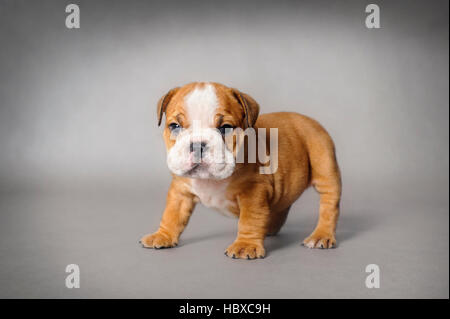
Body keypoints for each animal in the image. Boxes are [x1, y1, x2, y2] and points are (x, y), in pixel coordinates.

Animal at [141, 82, 342, 260]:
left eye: (225, 128)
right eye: (175, 126)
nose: (197, 145)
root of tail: (311, 121)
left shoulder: (253, 191)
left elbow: (249, 219)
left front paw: (246, 245)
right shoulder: (181, 191)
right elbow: (172, 215)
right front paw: (163, 235)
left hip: (324, 164)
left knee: (329, 204)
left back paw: (321, 235)